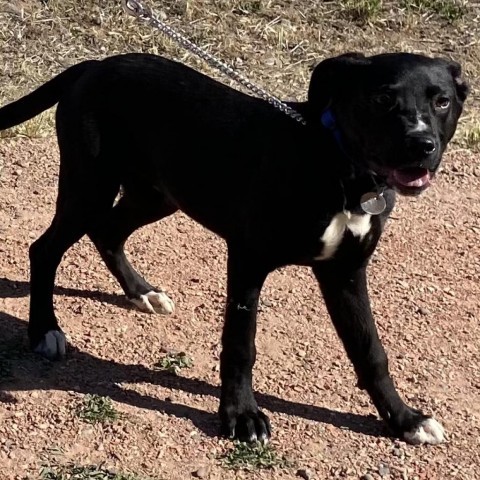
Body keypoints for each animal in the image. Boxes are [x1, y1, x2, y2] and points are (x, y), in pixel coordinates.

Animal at [0, 50, 468, 444]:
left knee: (108, 231)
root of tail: (94, 64)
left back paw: (141, 291)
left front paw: (404, 418)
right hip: (90, 187)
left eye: (442, 101)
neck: (338, 167)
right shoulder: (248, 260)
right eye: (382, 99)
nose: (421, 146)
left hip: (158, 194)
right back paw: (45, 330)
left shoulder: (346, 272)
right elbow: (241, 344)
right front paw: (241, 416)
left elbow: (370, 351)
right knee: (45, 249)